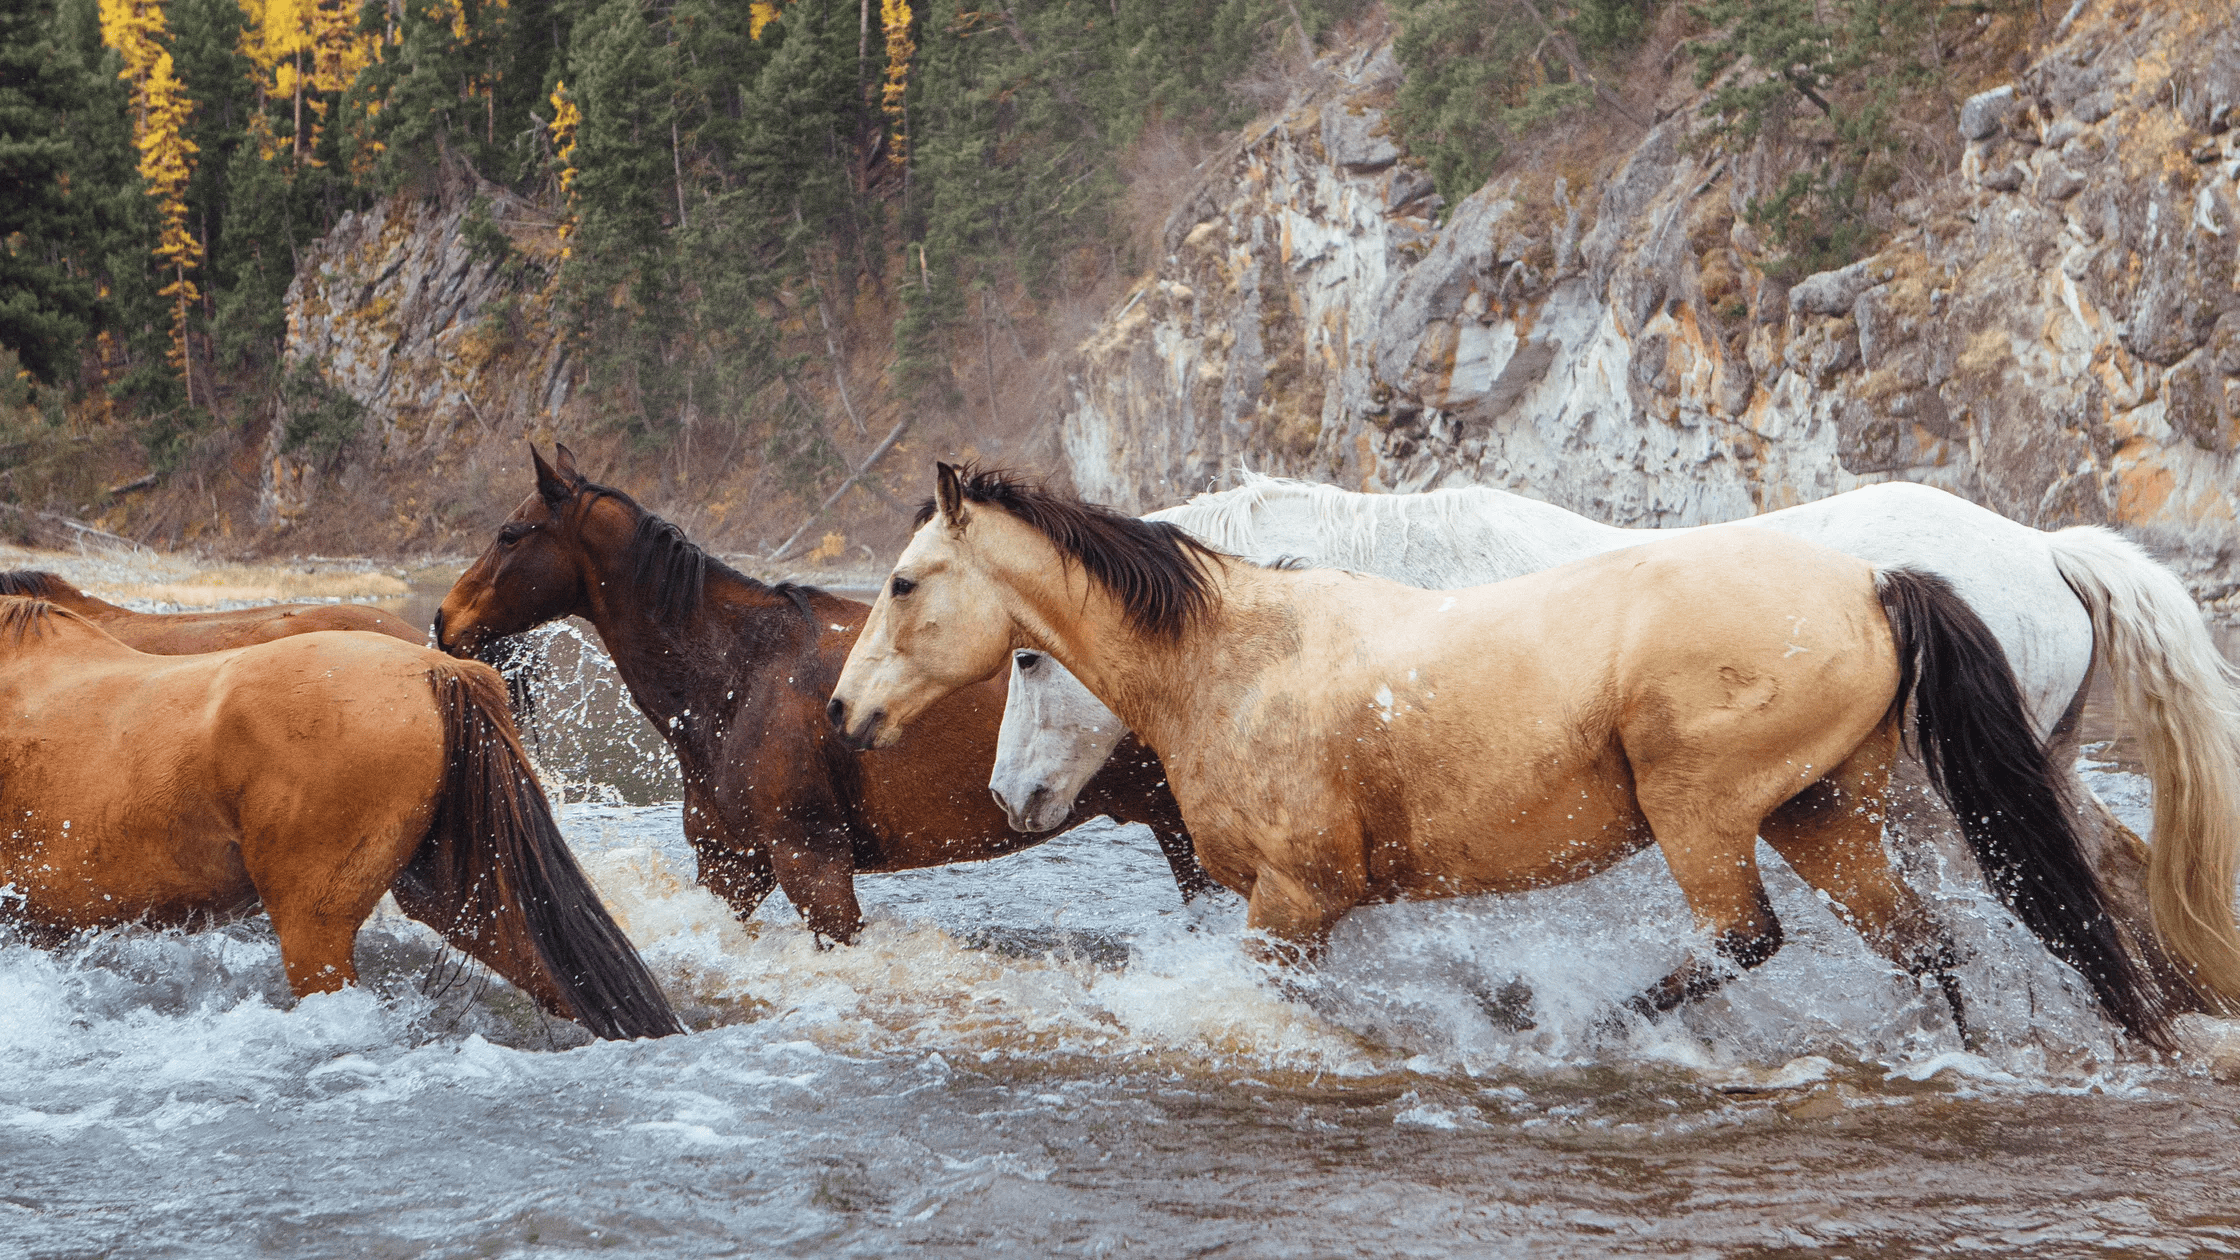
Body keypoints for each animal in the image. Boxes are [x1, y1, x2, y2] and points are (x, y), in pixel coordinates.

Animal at [829, 464, 2184, 1051]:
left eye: (1025, 663)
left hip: (1820, 814)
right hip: (1865, 810)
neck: (1261, 641)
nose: (1010, 795)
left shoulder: (1315, 883)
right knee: (2025, 912)